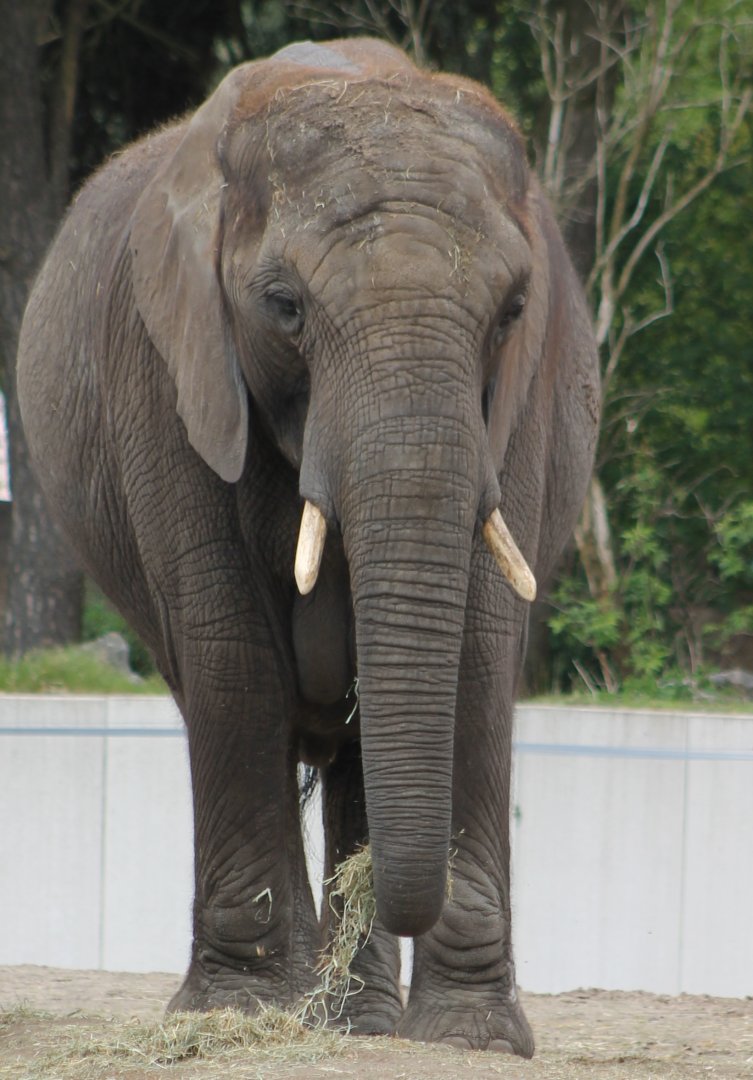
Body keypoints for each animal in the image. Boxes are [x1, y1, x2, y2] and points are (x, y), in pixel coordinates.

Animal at [17, 38, 599, 1056]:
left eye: (513, 308)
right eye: (283, 307)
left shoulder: (520, 402)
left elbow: (479, 650)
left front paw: (469, 1038)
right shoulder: (164, 369)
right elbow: (230, 651)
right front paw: (241, 1010)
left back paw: (353, 1018)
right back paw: (308, 1004)